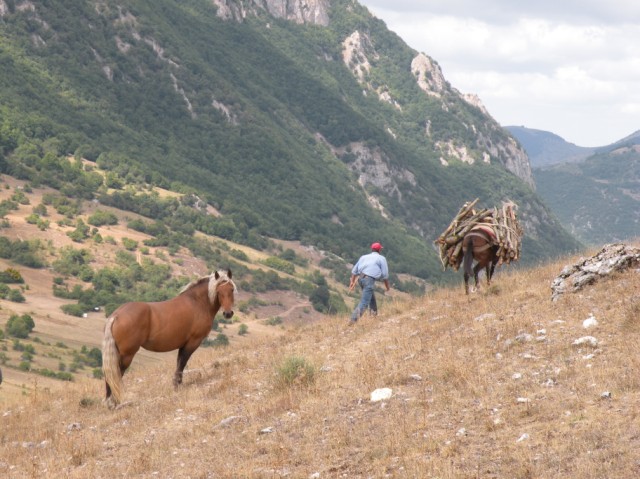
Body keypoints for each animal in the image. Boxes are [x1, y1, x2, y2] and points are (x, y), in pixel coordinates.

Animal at [102, 270, 235, 408]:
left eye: (231, 289)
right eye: (218, 291)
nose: (228, 313)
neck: (197, 302)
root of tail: (116, 315)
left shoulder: (183, 344)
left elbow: (179, 363)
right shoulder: (192, 343)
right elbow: (182, 364)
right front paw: (177, 385)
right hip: (127, 355)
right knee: (116, 373)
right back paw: (113, 402)